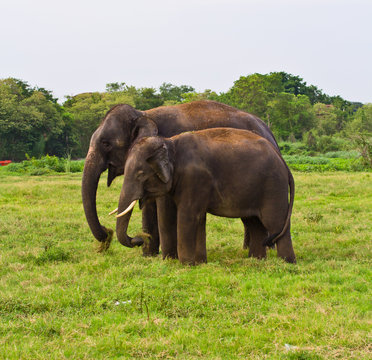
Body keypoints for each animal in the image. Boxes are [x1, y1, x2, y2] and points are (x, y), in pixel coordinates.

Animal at [81, 100, 280, 255]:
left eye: (106, 143)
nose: (106, 232)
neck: (143, 114)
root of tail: (270, 133)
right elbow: (149, 205)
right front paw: (149, 255)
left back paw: (264, 249)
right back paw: (247, 249)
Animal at [116, 127, 296, 264]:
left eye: (140, 174)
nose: (139, 239)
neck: (170, 142)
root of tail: (282, 161)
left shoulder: (195, 178)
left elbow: (188, 215)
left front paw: (186, 264)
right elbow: (193, 218)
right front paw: (196, 262)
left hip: (273, 186)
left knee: (275, 223)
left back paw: (286, 263)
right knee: (254, 223)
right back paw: (256, 260)